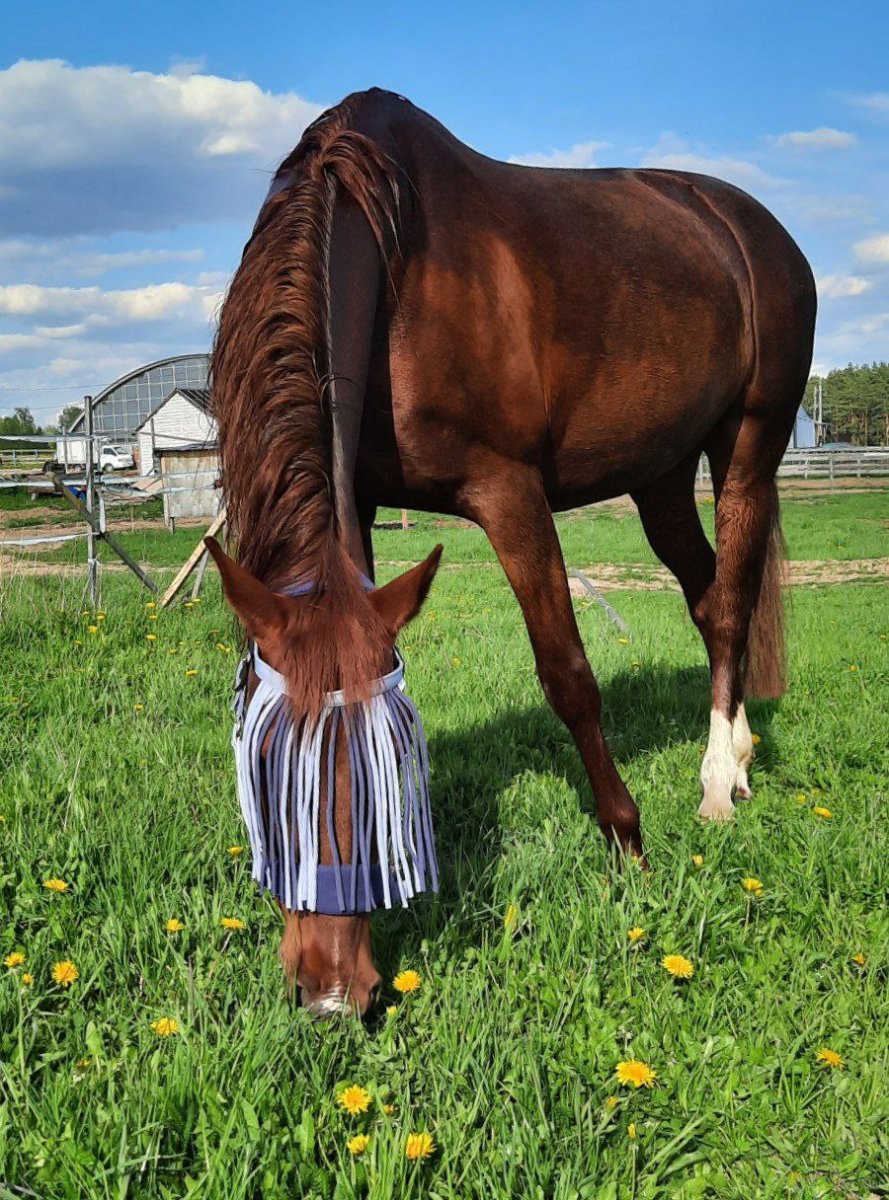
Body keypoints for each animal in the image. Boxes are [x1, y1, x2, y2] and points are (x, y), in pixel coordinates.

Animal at [205, 88, 815, 1017]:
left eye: (379, 764)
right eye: (267, 763)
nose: (332, 993)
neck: (393, 265)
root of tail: (753, 227)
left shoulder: (509, 492)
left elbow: (568, 675)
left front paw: (628, 845)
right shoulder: (364, 500)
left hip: (749, 445)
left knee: (731, 603)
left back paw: (715, 785)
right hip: (661, 473)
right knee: (709, 596)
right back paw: (740, 759)